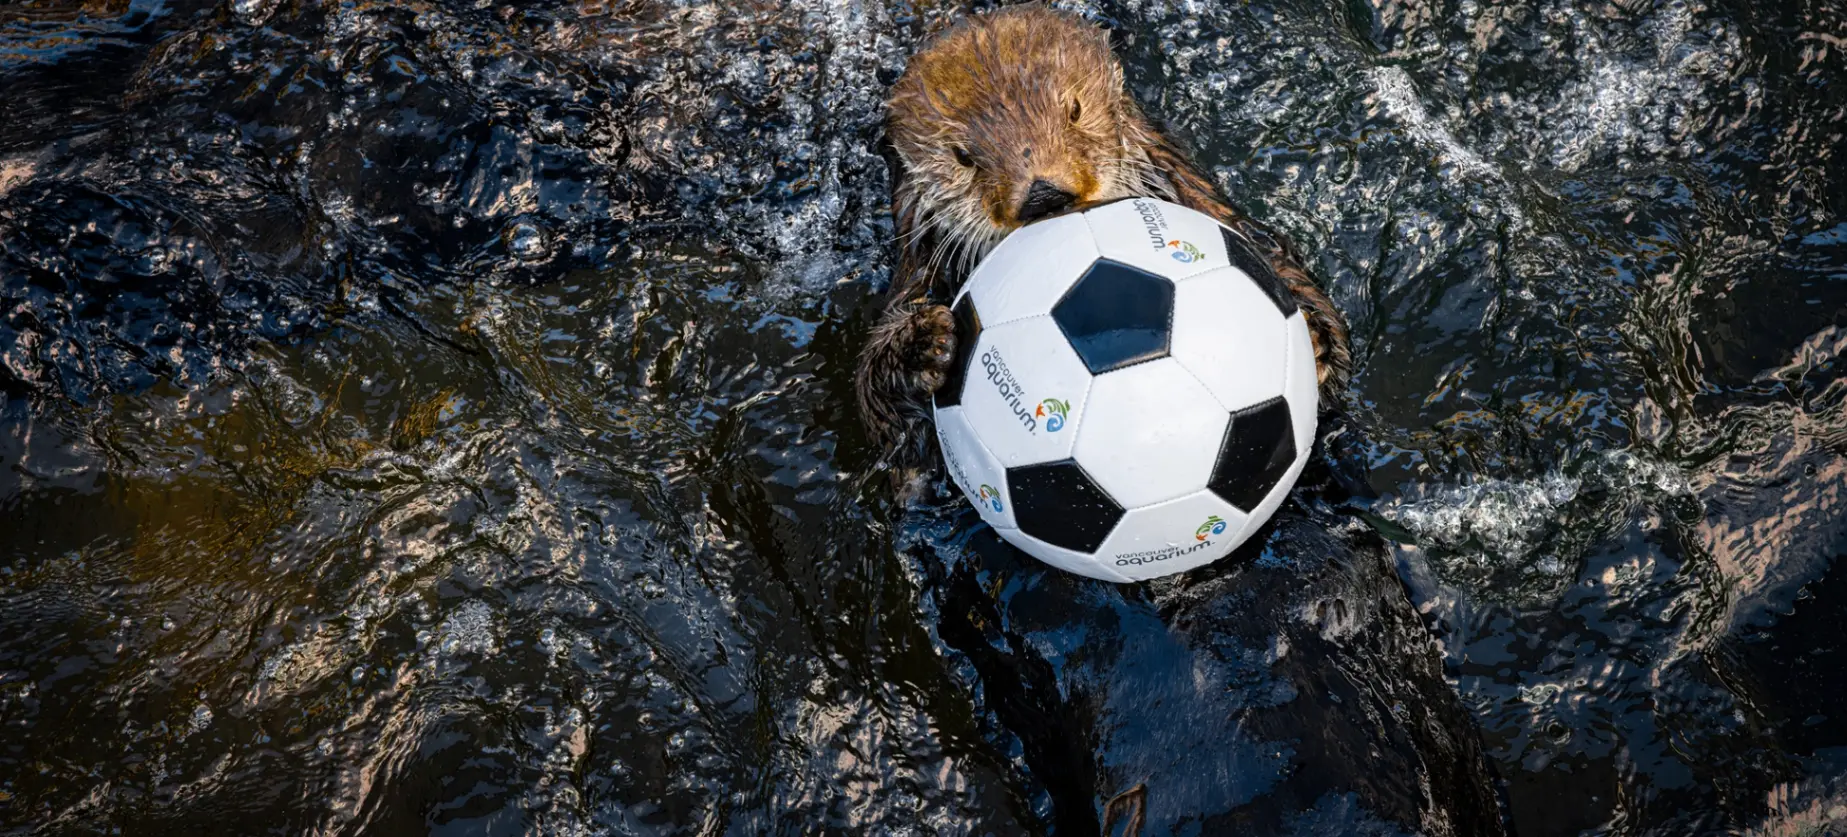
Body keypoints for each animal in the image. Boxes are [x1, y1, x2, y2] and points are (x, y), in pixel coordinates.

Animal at [855, 3, 1351, 468]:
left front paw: (1314, 341)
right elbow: (887, 421)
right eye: (962, 156)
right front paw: (924, 348)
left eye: (1074, 110)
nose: (1043, 194)